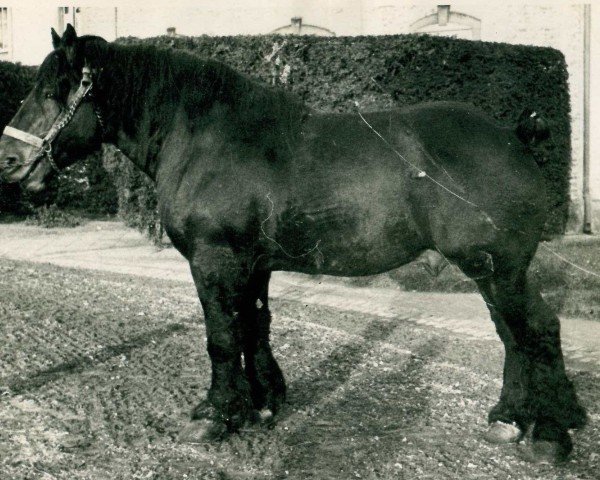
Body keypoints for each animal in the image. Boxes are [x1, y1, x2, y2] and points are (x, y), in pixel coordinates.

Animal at [0, 25, 584, 462]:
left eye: (51, 92)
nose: (8, 159)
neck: (208, 139)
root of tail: (513, 135)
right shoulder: (252, 264)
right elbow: (253, 327)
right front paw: (262, 404)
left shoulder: (214, 261)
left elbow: (221, 337)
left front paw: (215, 415)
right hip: (490, 270)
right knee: (512, 335)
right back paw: (509, 420)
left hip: (498, 267)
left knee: (535, 331)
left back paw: (551, 435)